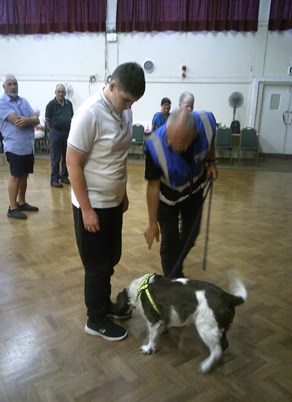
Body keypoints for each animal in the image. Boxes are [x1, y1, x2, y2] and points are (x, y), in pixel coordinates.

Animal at [115, 274, 248, 374]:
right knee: (223, 345)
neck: (139, 288)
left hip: (205, 326)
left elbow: (152, 337)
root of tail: (228, 297)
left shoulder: (153, 320)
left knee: (217, 350)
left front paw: (148, 348)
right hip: (218, 326)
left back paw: (205, 366)